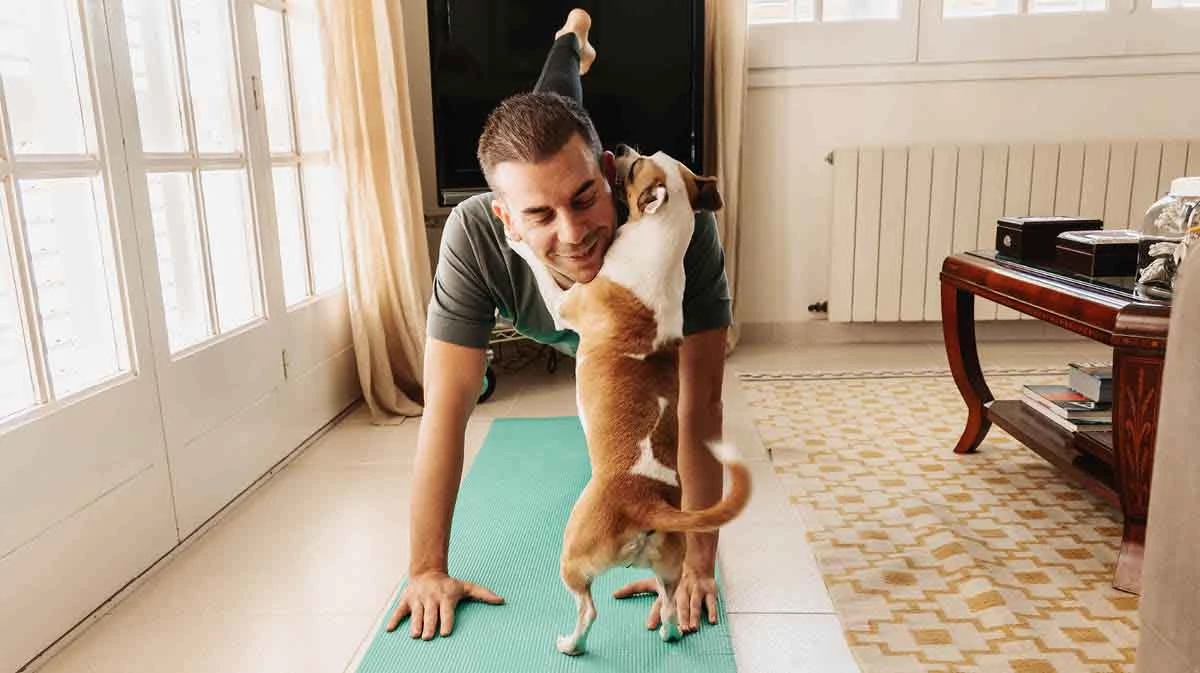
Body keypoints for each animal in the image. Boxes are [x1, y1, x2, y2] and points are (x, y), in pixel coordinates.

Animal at [554, 148, 748, 657]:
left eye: (639, 162)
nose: (620, 148)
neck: (661, 243)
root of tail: (648, 505)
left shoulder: (567, 303)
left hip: (573, 555)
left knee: (588, 610)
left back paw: (570, 644)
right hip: (666, 568)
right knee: (669, 599)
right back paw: (669, 631)